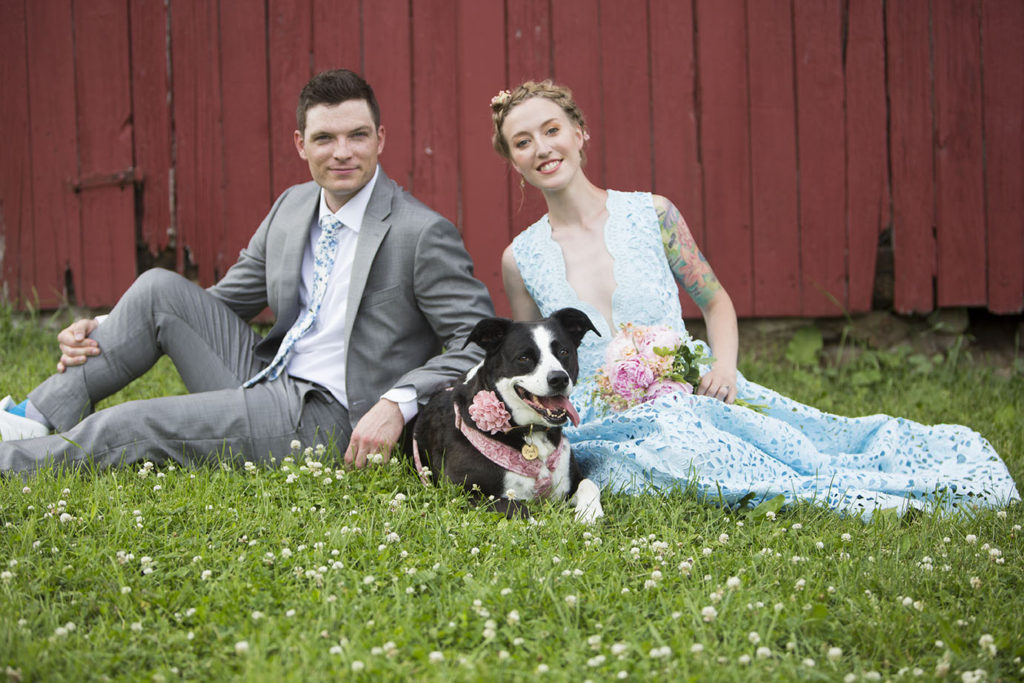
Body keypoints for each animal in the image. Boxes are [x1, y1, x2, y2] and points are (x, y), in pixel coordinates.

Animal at [409, 309, 602, 524]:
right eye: (524, 357)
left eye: (564, 352)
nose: (559, 378)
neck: (531, 433)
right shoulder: (461, 491)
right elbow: (518, 508)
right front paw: (541, 523)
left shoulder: (570, 481)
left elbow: (590, 484)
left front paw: (589, 514)